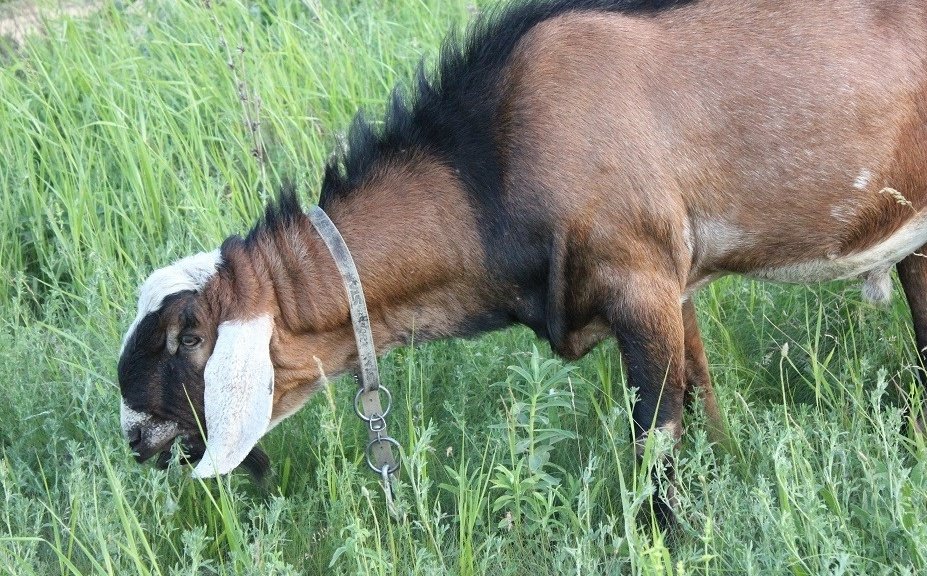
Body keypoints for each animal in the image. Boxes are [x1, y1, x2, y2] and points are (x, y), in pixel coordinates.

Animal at [116, 0, 927, 528]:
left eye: (190, 337)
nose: (132, 431)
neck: (488, 170)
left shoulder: (638, 281)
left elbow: (655, 441)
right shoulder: (673, 282)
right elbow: (702, 399)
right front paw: (727, 476)